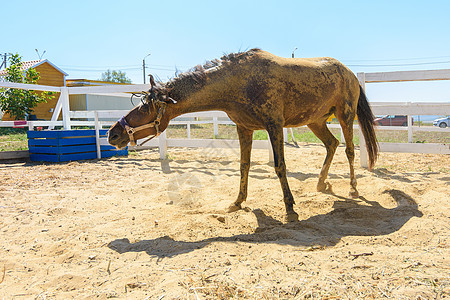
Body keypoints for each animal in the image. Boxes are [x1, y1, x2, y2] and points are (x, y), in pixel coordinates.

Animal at [108, 49, 376, 221]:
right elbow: (244, 165)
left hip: (345, 115)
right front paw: (237, 202)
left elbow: (280, 166)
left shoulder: (274, 125)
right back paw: (321, 183)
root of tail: (350, 73)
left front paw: (290, 208)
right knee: (332, 144)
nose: (113, 134)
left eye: (146, 107)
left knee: (349, 150)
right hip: (316, 122)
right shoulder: (244, 128)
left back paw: (353, 189)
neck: (240, 81)